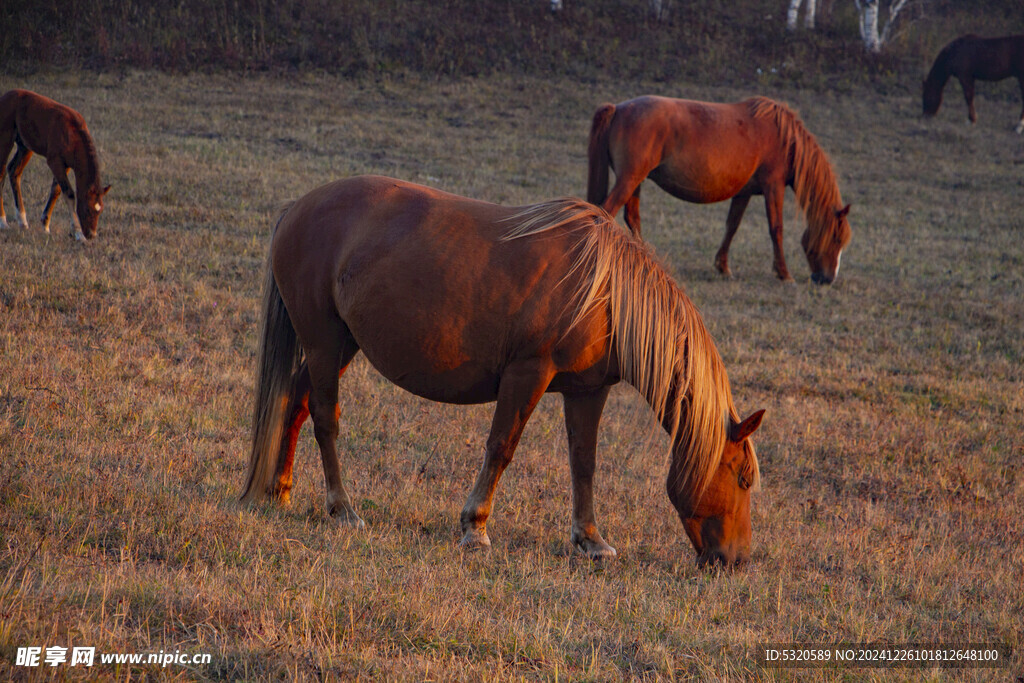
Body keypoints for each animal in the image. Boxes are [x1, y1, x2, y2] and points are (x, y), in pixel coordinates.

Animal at [0, 89, 110, 241]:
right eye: (88, 208)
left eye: (101, 210)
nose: (91, 234)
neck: (72, 133)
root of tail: (5, 97)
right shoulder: (55, 162)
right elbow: (69, 193)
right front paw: (78, 233)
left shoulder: (66, 165)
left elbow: (56, 191)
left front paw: (45, 226)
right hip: (5, 140)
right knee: (2, 173)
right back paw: (3, 222)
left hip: (25, 147)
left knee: (14, 171)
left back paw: (22, 221)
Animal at [239, 175, 765, 565]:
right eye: (742, 479)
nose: (737, 560)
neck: (604, 293)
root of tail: (297, 208)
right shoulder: (527, 375)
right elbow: (501, 448)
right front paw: (475, 527)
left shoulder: (587, 391)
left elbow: (584, 461)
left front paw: (590, 539)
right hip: (324, 342)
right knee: (325, 418)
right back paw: (342, 508)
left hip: (338, 345)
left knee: (295, 401)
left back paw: (279, 490)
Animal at [589, 95, 851, 282]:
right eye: (836, 238)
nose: (828, 279)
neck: (785, 139)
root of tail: (617, 109)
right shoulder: (773, 186)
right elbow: (776, 228)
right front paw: (784, 273)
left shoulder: (744, 192)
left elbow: (732, 225)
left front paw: (723, 267)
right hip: (629, 180)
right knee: (606, 212)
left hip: (635, 182)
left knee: (632, 217)